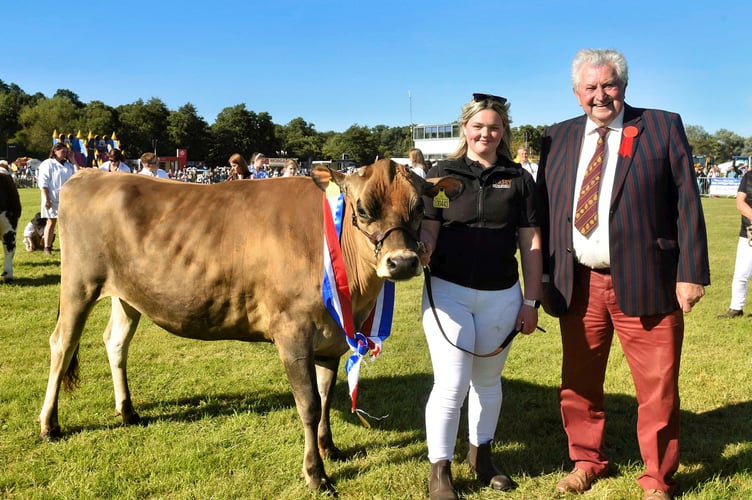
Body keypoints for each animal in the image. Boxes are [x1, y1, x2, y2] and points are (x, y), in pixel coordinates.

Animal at [39, 160, 464, 488]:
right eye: (362, 210)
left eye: (420, 209)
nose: (403, 262)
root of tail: (90, 174)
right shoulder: (292, 333)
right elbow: (309, 405)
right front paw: (316, 474)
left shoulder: (331, 340)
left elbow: (327, 397)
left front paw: (330, 448)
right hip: (79, 283)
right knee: (61, 343)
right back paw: (49, 424)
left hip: (128, 295)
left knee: (115, 342)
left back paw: (127, 411)